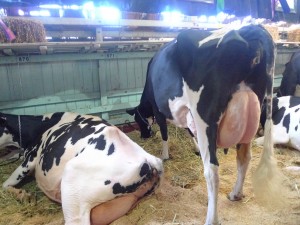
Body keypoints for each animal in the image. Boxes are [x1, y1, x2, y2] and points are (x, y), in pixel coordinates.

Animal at [125, 23, 276, 224]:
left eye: (137, 120)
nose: (144, 135)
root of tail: (248, 29)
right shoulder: (188, 113)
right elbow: (189, 131)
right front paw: (195, 148)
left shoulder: (160, 110)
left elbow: (165, 133)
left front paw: (165, 155)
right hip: (252, 116)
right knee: (244, 159)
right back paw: (235, 194)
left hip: (205, 119)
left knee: (212, 171)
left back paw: (211, 218)